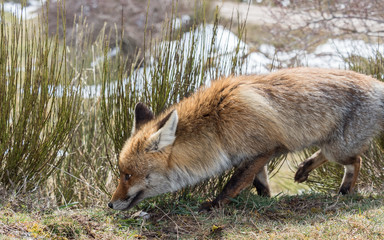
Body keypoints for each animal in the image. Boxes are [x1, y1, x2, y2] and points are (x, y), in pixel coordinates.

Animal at [107, 67, 384, 210]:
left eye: (127, 175)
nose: (110, 205)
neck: (217, 124)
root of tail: (376, 83)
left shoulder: (264, 149)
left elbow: (234, 183)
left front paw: (213, 205)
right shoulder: (252, 156)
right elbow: (260, 183)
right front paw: (265, 201)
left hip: (340, 148)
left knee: (355, 160)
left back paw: (345, 191)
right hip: (333, 144)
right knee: (329, 155)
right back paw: (304, 170)